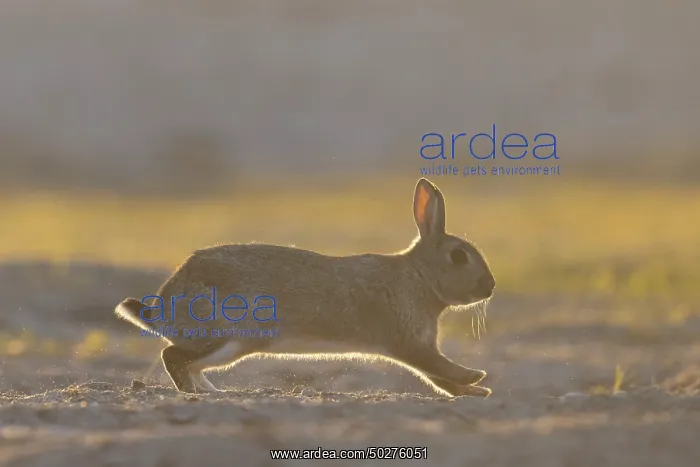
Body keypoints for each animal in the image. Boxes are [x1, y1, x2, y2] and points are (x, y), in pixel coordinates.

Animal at [115, 177, 496, 398]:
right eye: (458, 257)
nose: (490, 287)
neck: (419, 278)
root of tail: (163, 308)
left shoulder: (415, 346)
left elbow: (437, 378)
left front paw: (477, 390)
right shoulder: (408, 343)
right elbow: (438, 369)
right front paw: (477, 378)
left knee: (185, 361)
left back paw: (213, 391)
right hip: (232, 336)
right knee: (173, 356)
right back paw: (198, 392)